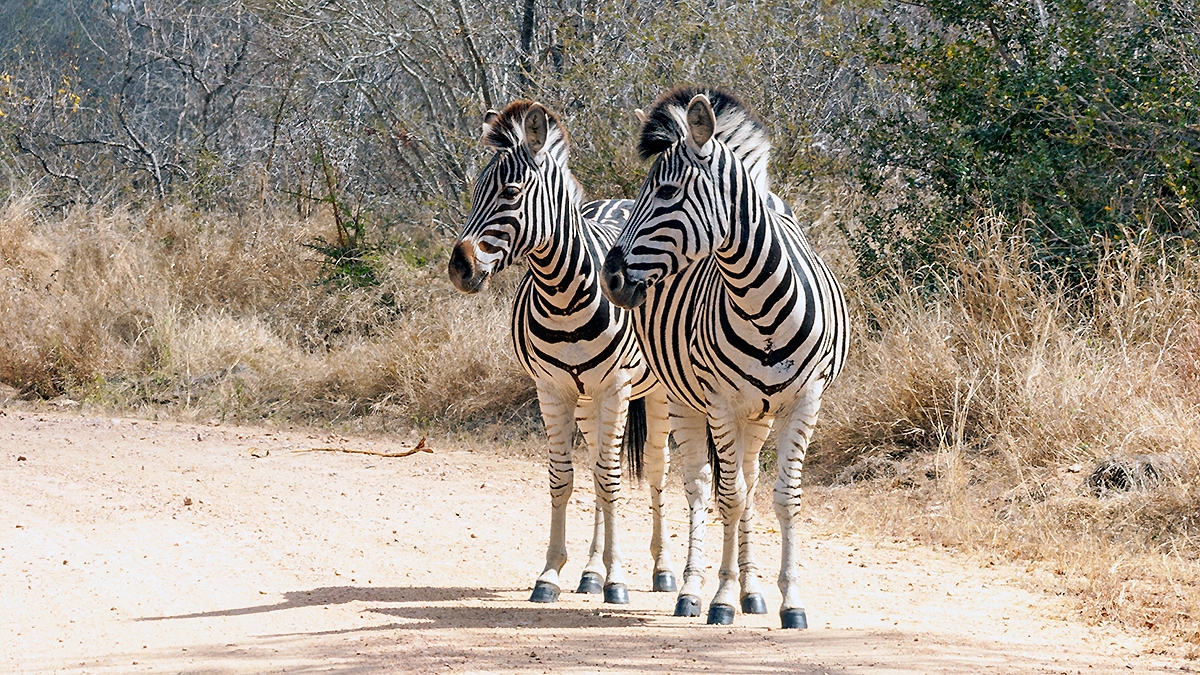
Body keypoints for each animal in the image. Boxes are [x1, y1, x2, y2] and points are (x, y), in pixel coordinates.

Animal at [447, 100, 677, 604]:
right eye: (475, 190)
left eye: (511, 192)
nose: (459, 268)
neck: (563, 295)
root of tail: (621, 199)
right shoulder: (551, 390)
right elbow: (565, 477)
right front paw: (552, 573)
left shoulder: (616, 388)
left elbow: (613, 480)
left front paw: (617, 579)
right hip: (587, 400)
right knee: (596, 469)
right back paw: (590, 573)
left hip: (658, 394)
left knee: (656, 469)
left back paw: (664, 569)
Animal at [601, 88, 850, 628]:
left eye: (667, 192)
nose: (610, 279)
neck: (764, 305)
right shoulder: (718, 401)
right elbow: (726, 497)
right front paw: (719, 598)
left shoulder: (807, 400)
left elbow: (783, 499)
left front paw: (789, 602)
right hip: (684, 400)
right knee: (699, 486)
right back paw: (692, 590)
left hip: (758, 414)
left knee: (751, 485)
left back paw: (752, 592)